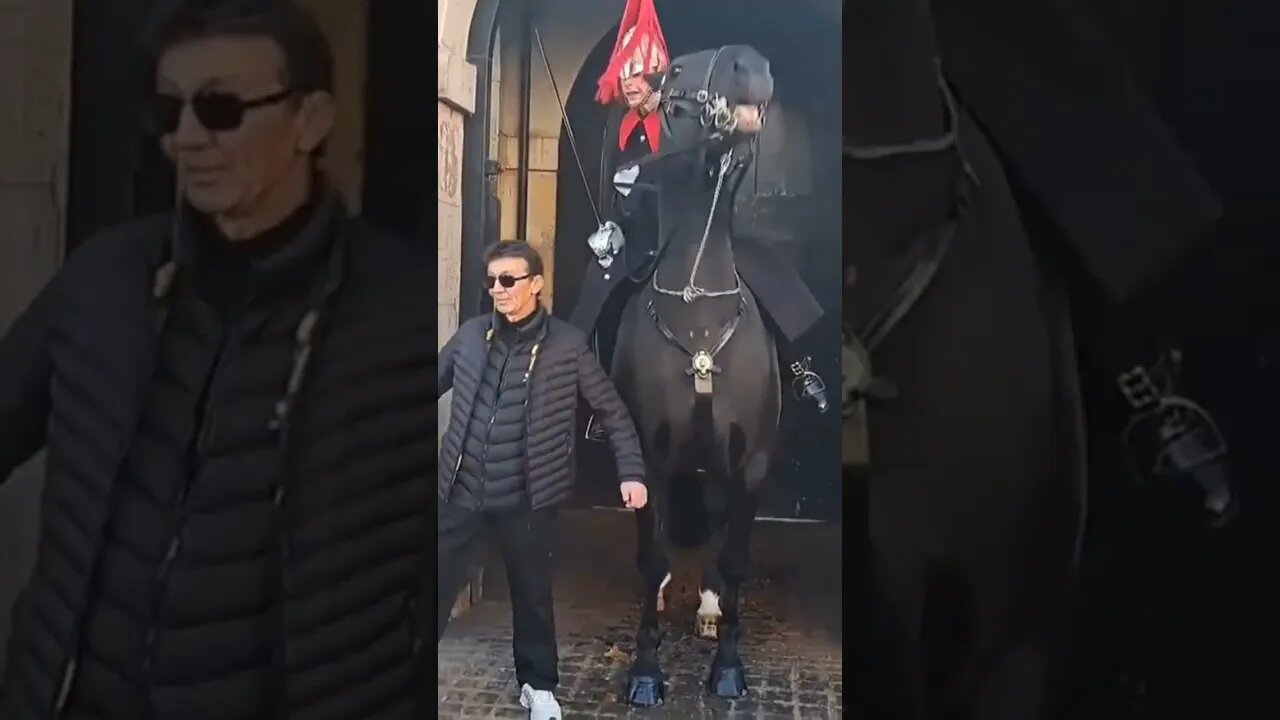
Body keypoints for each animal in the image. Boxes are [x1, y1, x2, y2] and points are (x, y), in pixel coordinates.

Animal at [604, 46, 783, 707]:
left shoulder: (750, 463)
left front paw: (728, 666)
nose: (749, 63)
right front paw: (645, 672)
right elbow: (651, 555)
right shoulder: (649, 459)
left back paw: (707, 609)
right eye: (676, 71)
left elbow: (732, 559)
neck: (697, 310)